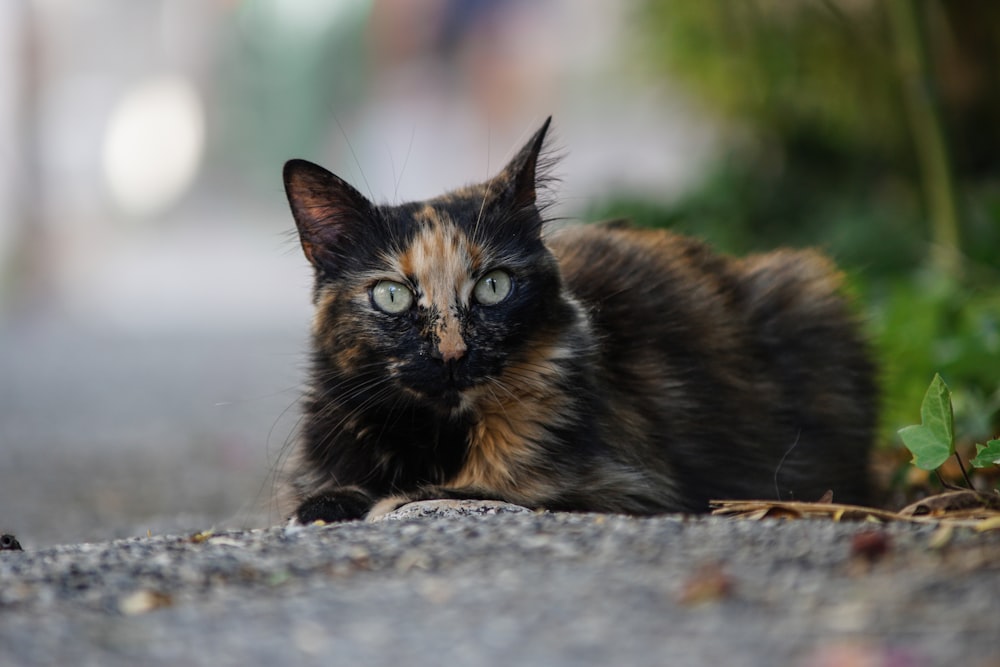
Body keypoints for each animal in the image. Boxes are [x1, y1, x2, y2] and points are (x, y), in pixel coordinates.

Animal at [282, 118, 876, 528]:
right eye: (392, 296)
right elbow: (318, 497)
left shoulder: (621, 488)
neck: (432, 436)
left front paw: (392, 501)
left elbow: (458, 493)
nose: (452, 353)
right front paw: (330, 505)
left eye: (494, 286)